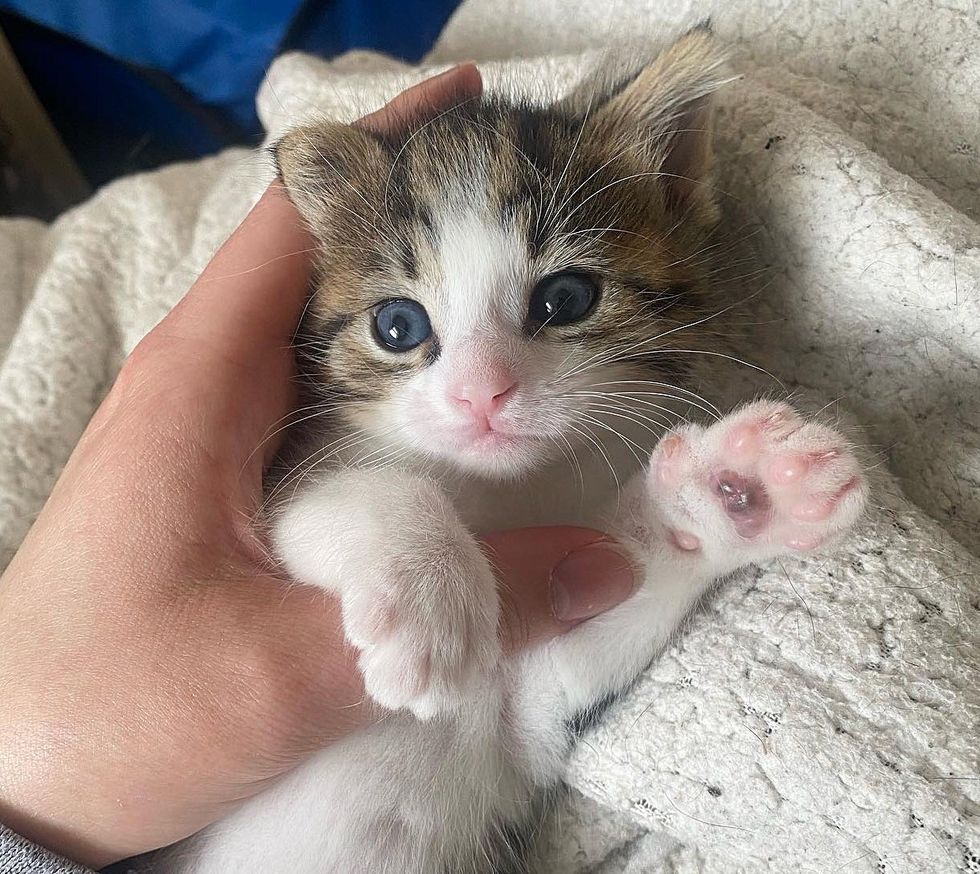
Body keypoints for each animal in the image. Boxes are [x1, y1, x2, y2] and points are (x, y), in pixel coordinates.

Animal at [159, 27, 864, 872]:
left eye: (566, 299)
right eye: (397, 325)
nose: (481, 394)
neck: (506, 496)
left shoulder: (524, 721)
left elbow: (588, 633)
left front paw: (734, 491)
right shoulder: (282, 486)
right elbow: (352, 493)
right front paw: (430, 601)